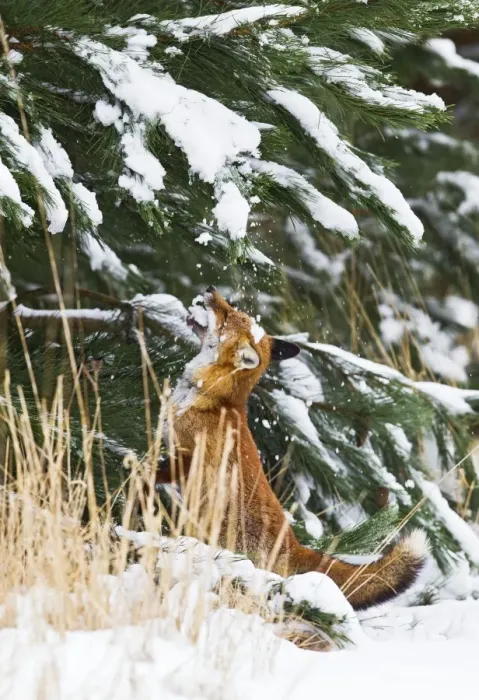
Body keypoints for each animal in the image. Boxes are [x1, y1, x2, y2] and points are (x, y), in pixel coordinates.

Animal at [155, 286, 428, 610]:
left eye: (228, 316)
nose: (210, 290)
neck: (213, 399)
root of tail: (295, 544)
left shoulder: (187, 458)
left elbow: (156, 471)